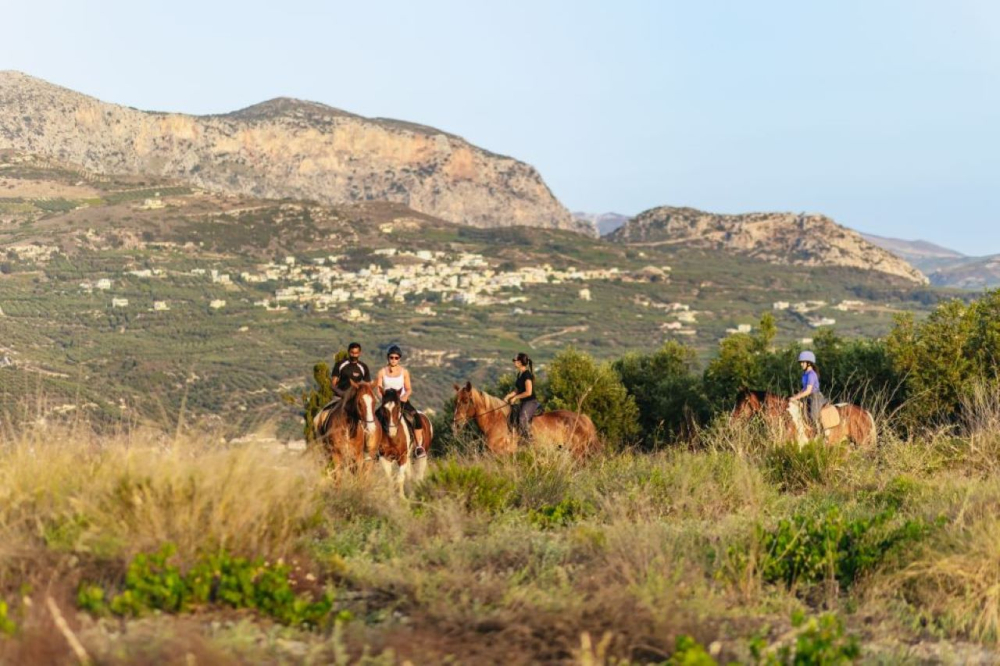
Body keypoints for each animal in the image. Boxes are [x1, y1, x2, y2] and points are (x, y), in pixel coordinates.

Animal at [456, 378, 600, 456]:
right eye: (456, 401)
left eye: (466, 401)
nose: (456, 422)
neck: (495, 421)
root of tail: (582, 418)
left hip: (578, 451)